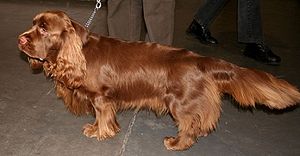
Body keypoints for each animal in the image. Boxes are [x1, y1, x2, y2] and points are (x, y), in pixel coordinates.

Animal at [17, 10, 300, 150]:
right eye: (33, 24)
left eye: (44, 29)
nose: (20, 39)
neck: (80, 51)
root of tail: (200, 60)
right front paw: (97, 129)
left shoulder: (101, 98)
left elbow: (103, 116)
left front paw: (99, 132)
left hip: (179, 103)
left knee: (189, 126)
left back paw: (176, 144)